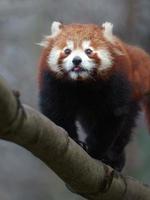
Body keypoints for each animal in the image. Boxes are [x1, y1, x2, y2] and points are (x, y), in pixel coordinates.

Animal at [37, 21, 150, 171]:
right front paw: (74, 141)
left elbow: (110, 117)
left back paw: (115, 158)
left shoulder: (116, 83)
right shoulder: (53, 83)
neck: (81, 83)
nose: (76, 60)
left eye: (88, 51)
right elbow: (57, 111)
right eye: (67, 51)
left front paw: (93, 150)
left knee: (125, 128)